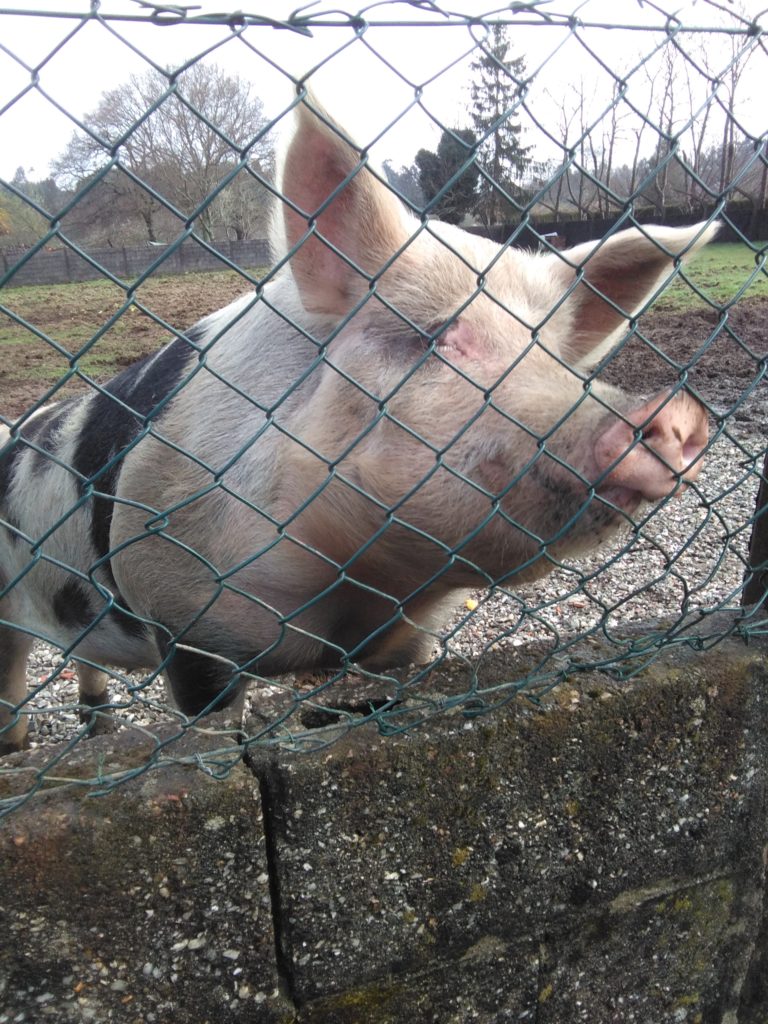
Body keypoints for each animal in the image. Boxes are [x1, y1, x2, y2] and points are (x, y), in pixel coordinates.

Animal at [0, 96, 716, 753]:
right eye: (437, 335)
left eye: (552, 353)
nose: (672, 412)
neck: (351, 584)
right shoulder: (181, 616)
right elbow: (213, 719)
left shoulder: (406, 637)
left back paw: (99, 728)